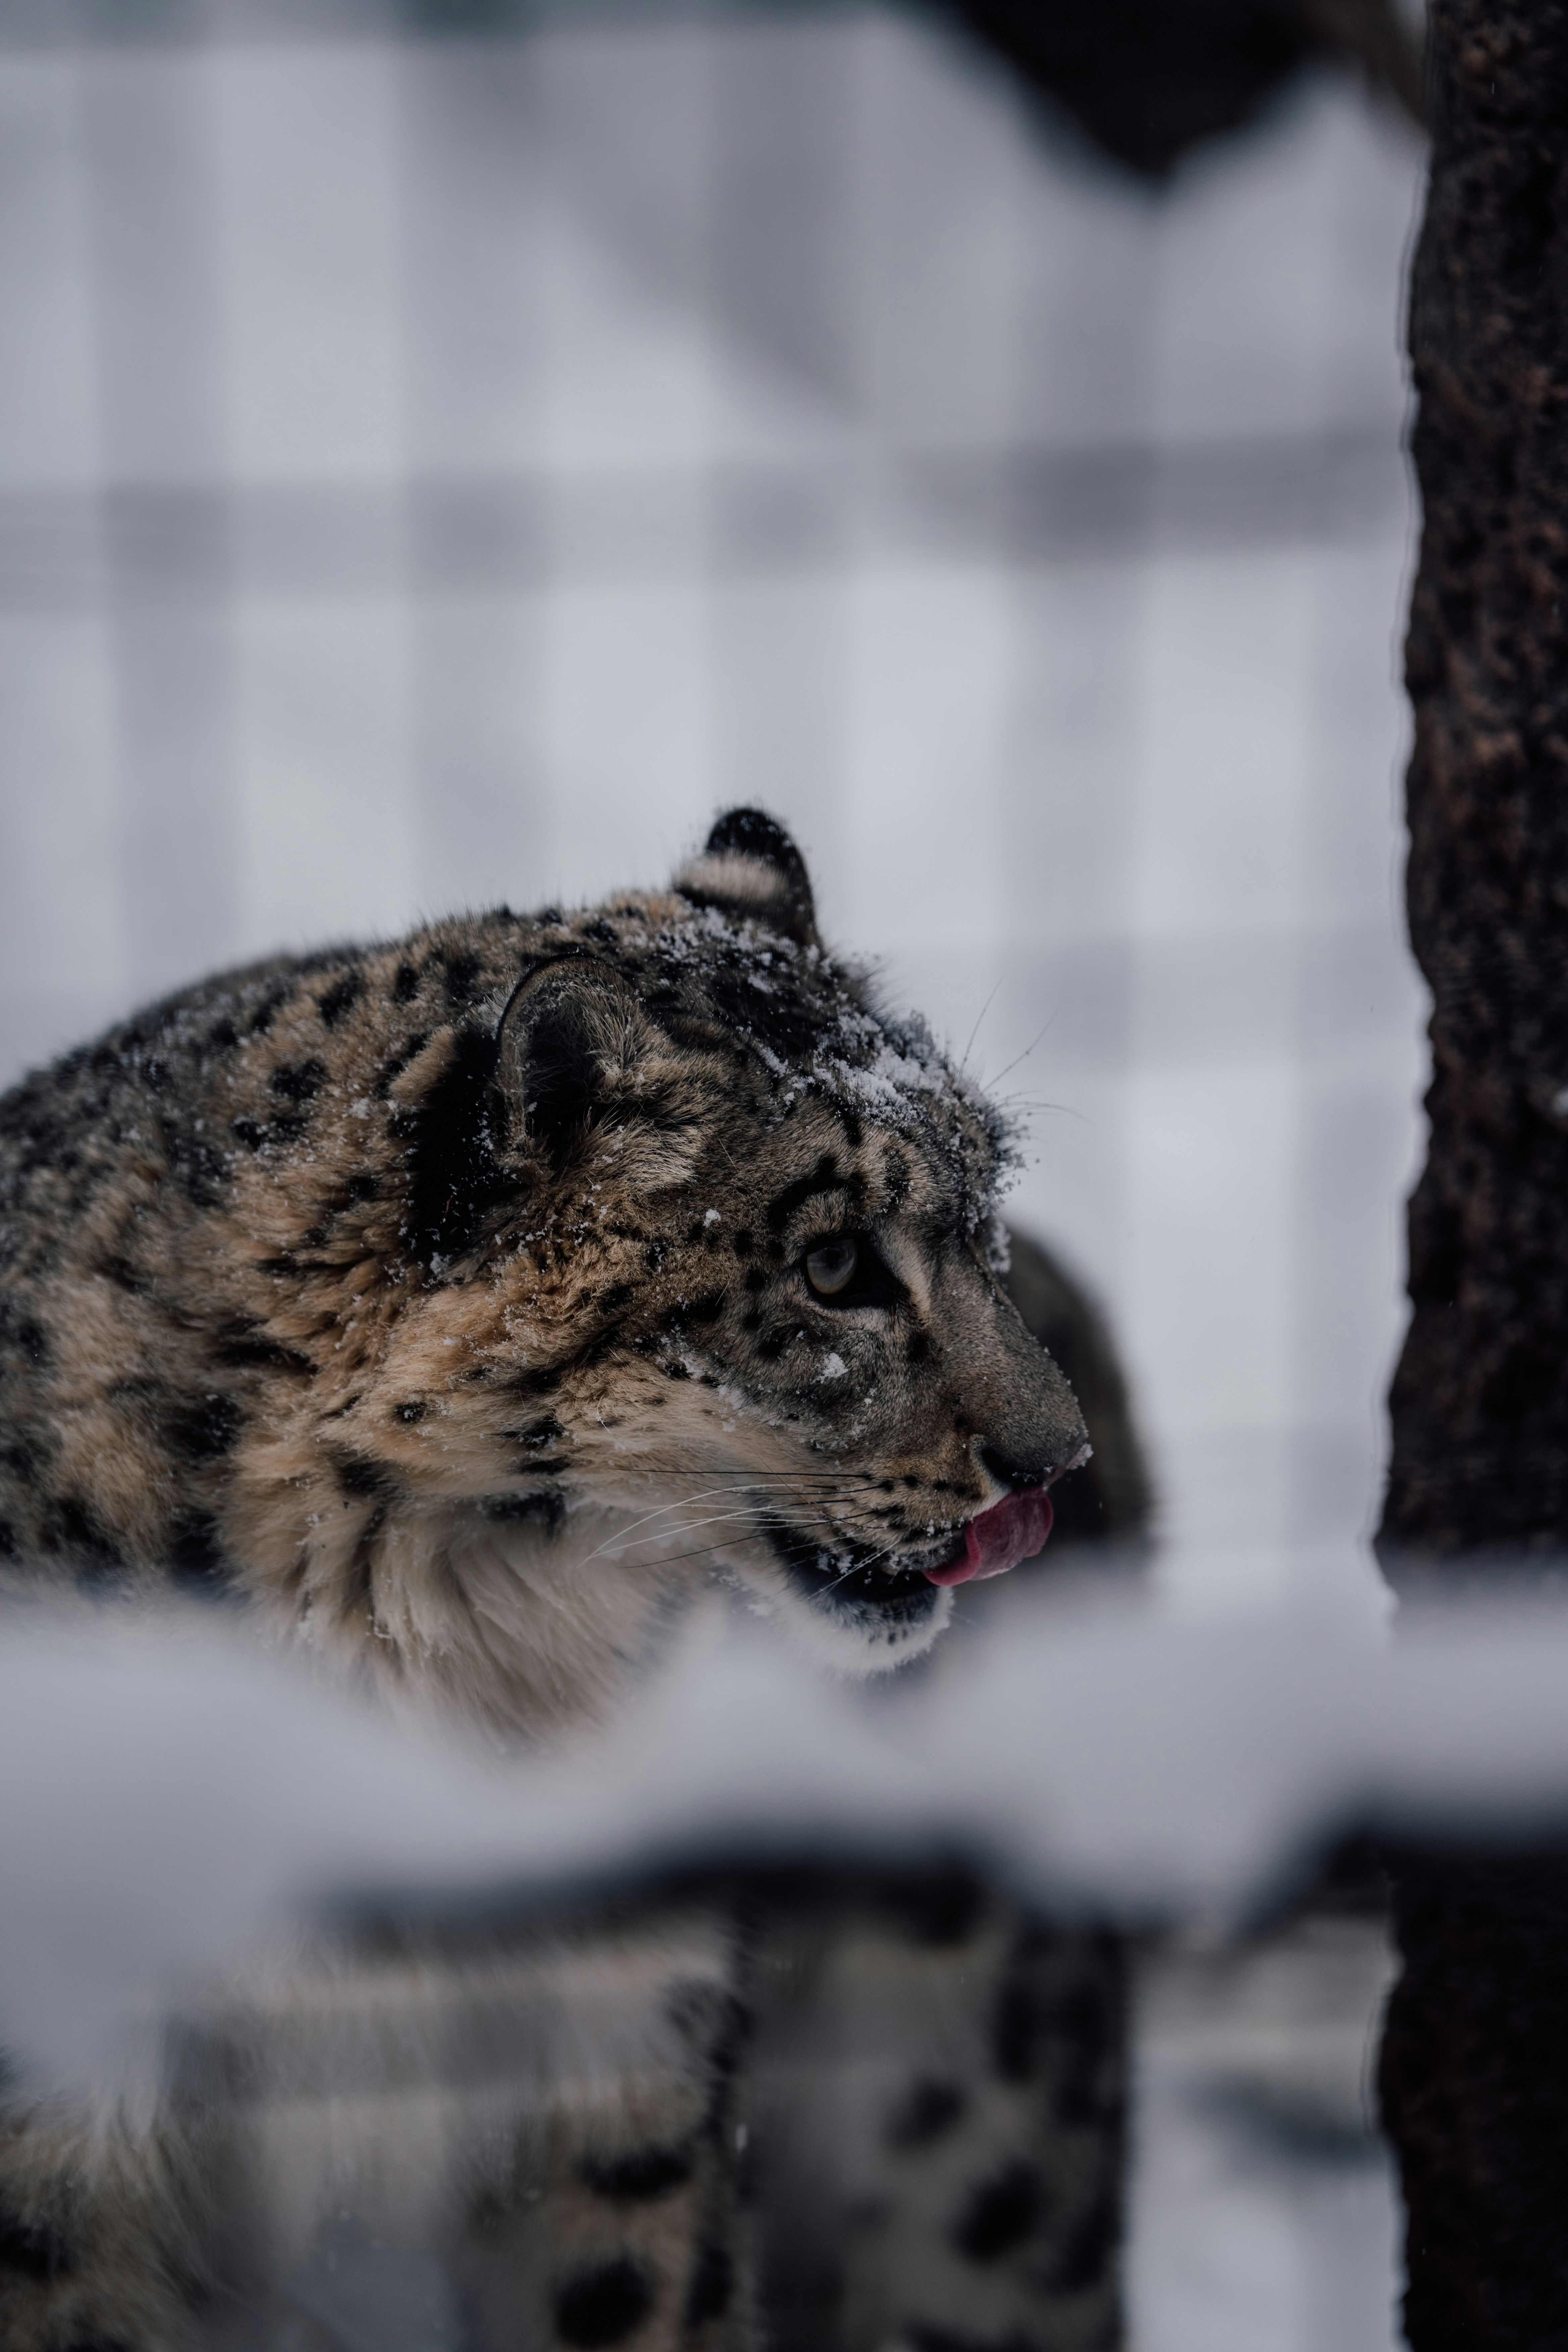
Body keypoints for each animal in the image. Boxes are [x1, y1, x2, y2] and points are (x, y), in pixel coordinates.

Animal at [0, 808, 1143, 2352]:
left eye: (982, 1212)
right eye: (834, 1263)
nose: (1047, 1463)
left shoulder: (623, 2055)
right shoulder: (64, 2116)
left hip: (980, 2134)